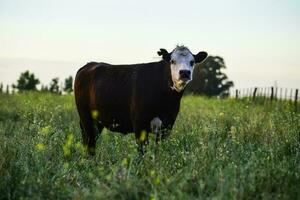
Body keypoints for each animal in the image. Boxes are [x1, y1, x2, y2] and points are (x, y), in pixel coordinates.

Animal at [74, 45, 207, 155]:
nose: (184, 73)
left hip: (98, 121)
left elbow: (159, 150)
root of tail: (89, 65)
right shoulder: (139, 124)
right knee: (90, 143)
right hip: (86, 118)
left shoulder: (167, 125)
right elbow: (142, 151)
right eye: (172, 61)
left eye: (192, 62)